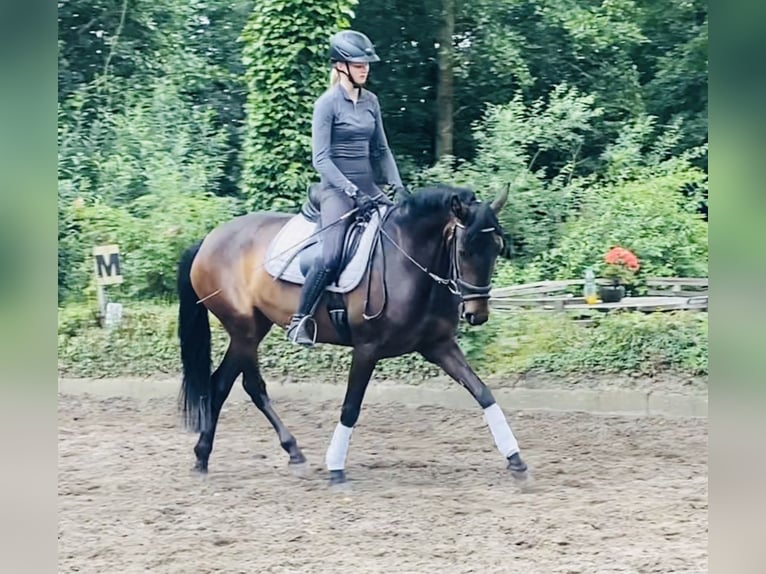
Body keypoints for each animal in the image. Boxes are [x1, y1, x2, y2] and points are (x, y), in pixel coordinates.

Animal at [176, 184, 532, 486]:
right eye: (465, 250)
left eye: (497, 247)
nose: (477, 314)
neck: (408, 258)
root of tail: (208, 240)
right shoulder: (367, 348)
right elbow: (350, 407)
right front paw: (336, 469)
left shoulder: (438, 345)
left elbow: (483, 393)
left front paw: (515, 459)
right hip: (244, 330)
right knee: (236, 385)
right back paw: (224, 455)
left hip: (253, 329)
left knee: (233, 384)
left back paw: (244, 454)